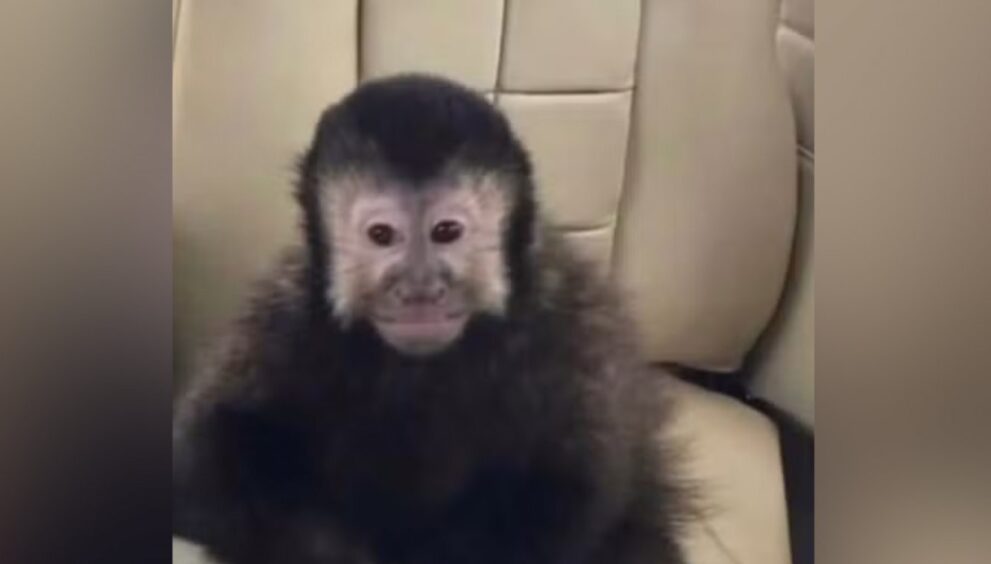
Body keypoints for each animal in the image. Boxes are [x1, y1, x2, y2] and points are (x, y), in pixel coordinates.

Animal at [173, 74, 691, 564]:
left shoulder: (570, 325)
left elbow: (574, 487)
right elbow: (206, 453)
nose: (419, 289)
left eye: (446, 231)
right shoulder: (285, 317)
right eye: (382, 236)